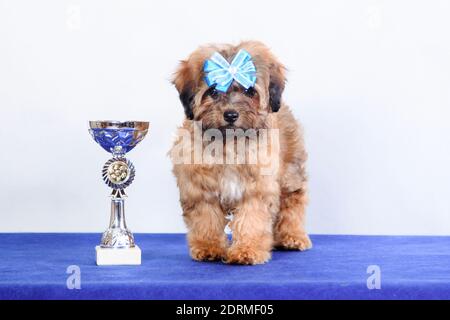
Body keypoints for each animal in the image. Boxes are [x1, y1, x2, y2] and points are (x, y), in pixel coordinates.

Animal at [171, 40, 312, 264]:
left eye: (249, 91)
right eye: (213, 91)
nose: (231, 114)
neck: (229, 142)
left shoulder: (256, 188)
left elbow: (251, 219)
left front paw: (247, 250)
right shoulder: (200, 188)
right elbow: (206, 219)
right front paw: (209, 247)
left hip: (290, 172)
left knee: (293, 201)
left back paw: (293, 236)